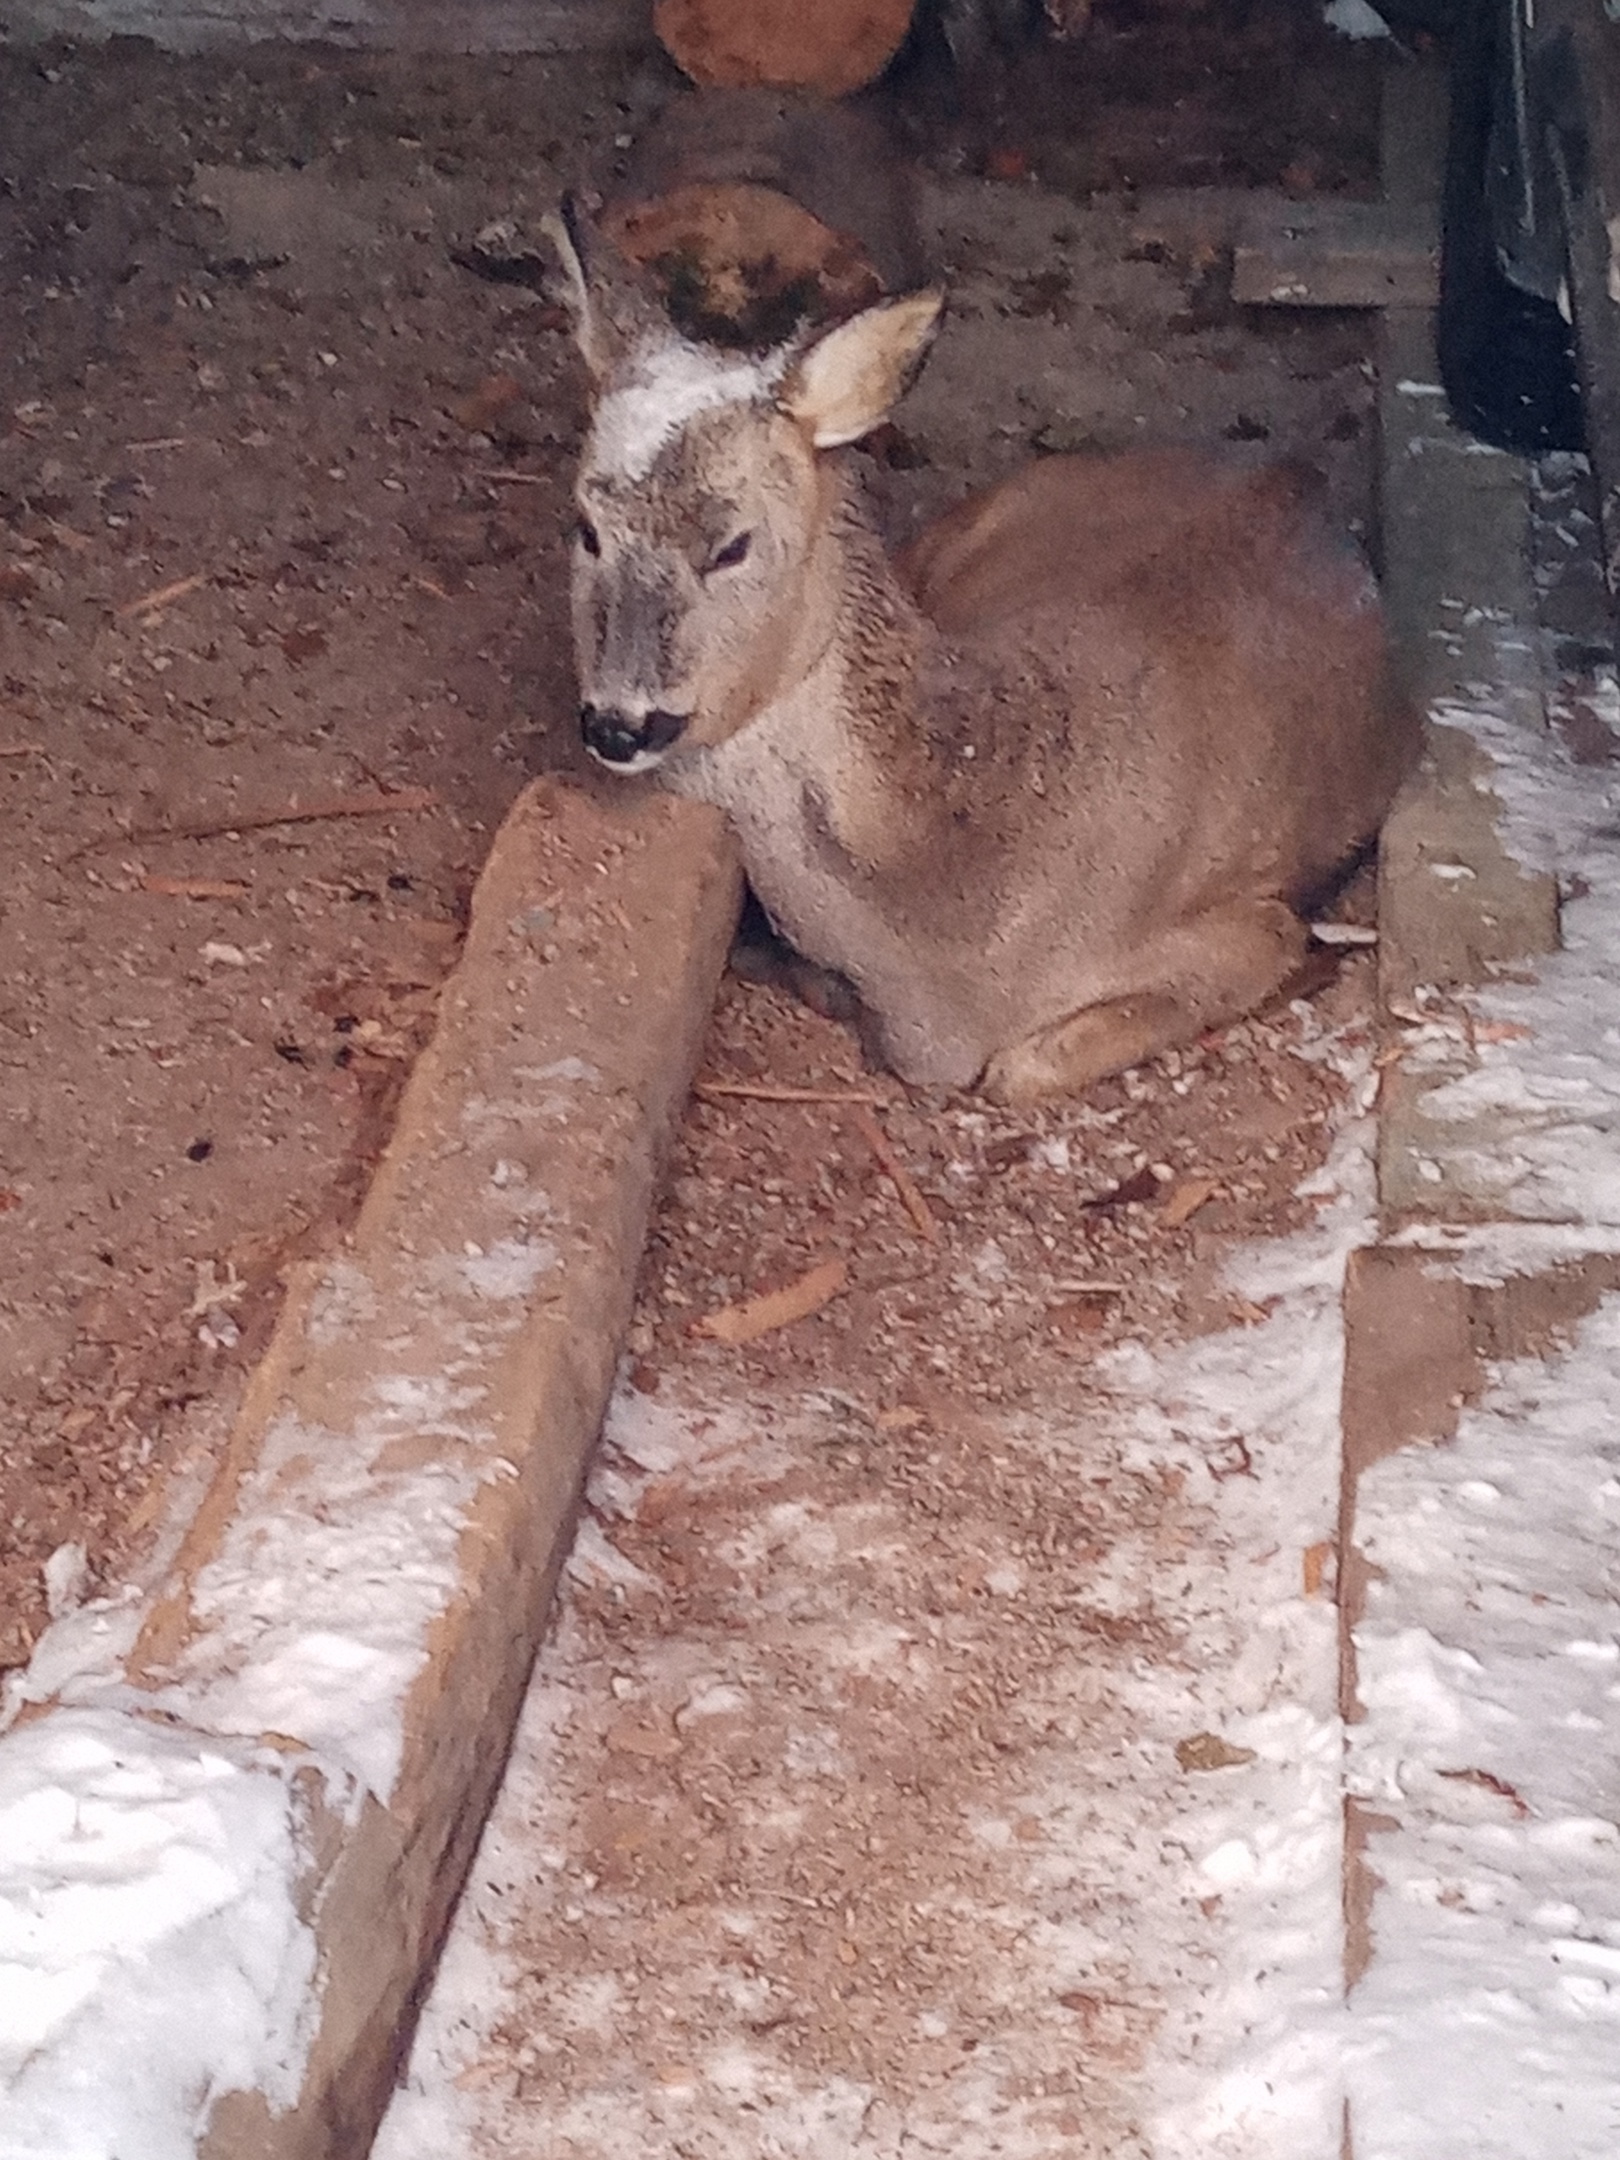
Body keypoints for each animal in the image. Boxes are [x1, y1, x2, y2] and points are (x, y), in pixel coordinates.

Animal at [552, 204, 1416, 1105]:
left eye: (733, 546)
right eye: (586, 526)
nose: (619, 723)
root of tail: (1297, 474)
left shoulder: (1252, 924)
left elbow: (1018, 1070)